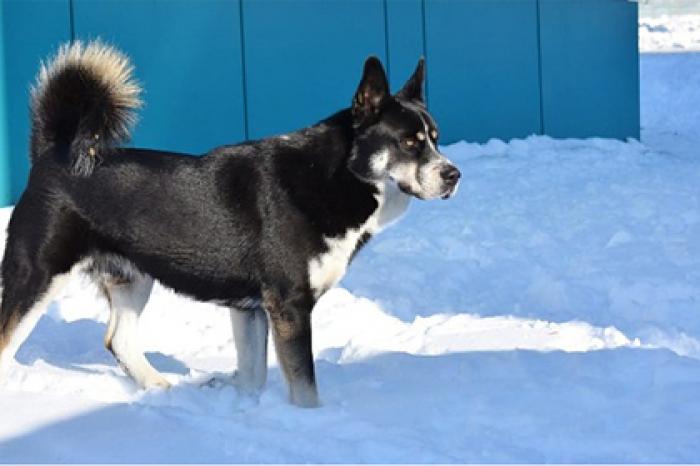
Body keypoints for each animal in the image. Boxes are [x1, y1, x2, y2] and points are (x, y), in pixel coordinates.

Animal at [0, 41, 462, 406]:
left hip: (133, 277)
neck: (335, 176)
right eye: (408, 143)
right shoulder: (289, 306)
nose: (453, 174)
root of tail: (53, 152)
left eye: (436, 139)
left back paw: (160, 387)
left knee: (119, 340)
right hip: (37, 276)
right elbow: (305, 387)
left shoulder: (250, 309)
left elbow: (253, 377)